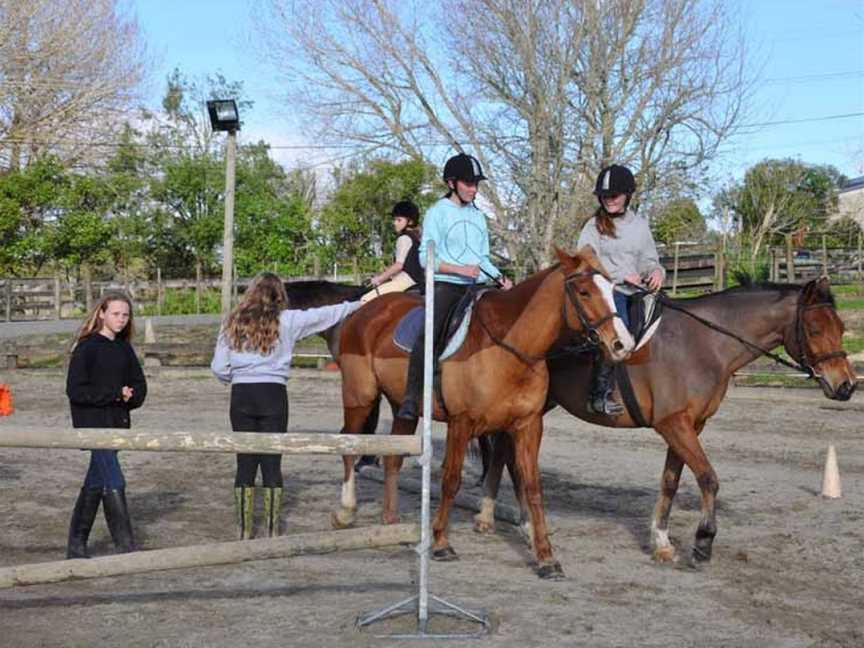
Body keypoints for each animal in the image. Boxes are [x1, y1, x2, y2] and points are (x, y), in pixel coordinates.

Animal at [330, 247, 636, 576]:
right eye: (584, 291)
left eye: (612, 289)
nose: (623, 344)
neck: (509, 348)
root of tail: (362, 312)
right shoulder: (461, 423)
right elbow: (451, 480)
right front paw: (441, 543)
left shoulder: (528, 425)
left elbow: (532, 486)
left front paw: (546, 557)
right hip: (360, 397)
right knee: (348, 445)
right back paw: (345, 512)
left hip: (403, 407)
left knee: (392, 459)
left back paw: (391, 522)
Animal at [480, 276, 856, 564]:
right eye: (815, 328)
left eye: (840, 327)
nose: (846, 385)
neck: (704, 344)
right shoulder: (674, 424)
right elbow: (708, 478)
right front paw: (703, 541)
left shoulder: (690, 425)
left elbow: (670, 481)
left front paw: (661, 542)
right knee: (505, 453)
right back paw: (494, 518)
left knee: (506, 453)